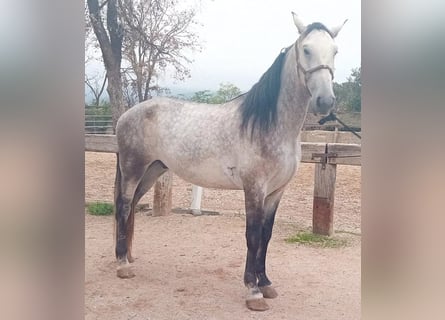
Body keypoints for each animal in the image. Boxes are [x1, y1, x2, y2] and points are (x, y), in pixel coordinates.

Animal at [112, 13, 346, 312]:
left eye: (335, 51)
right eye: (306, 49)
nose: (325, 101)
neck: (271, 125)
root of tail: (126, 114)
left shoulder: (276, 192)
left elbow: (266, 235)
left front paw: (266, 283)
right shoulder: (254, 188)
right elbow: (253, 235)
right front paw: (253, 292)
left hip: (152, 170)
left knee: (130, 208)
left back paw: (129, 257)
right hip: (133, 169)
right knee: (123, 206)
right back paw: (122, 265)